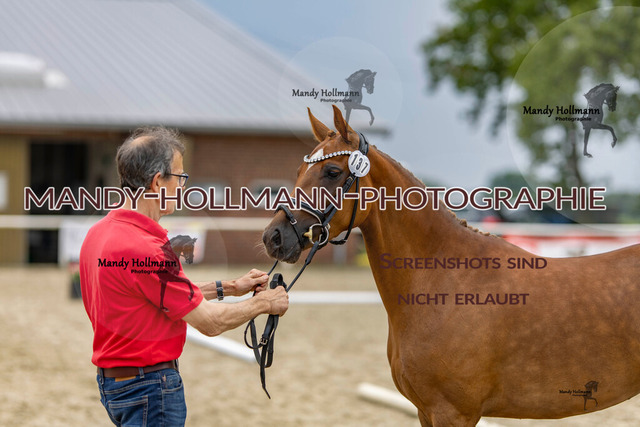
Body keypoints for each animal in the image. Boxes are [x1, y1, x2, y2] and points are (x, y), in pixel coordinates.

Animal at [262, 104, 640, 426]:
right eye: (299, 170)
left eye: (332, 171)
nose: (274, 237)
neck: (444, 282)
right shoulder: (426, 411)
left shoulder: (452, 412)